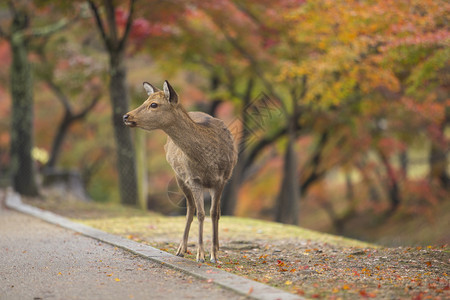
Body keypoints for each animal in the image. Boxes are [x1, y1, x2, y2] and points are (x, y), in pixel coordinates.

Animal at [121, 79, 237, 262]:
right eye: (144, 101)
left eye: (153, 104)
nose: (126, 116)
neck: (208, 160)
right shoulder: (193, 178)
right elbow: (201, 213)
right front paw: (200, 255)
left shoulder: (221, 180)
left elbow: (213, 213)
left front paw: (213, 255)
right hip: (179, 177)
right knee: (190, 209)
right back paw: (181, 249)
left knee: (215, 211)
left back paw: (216, 248)